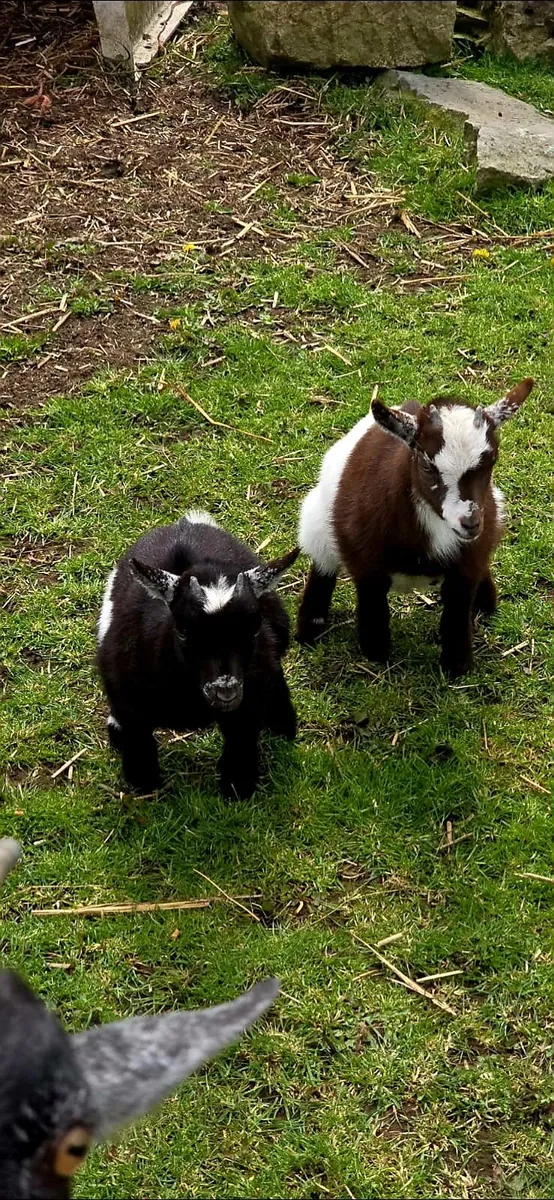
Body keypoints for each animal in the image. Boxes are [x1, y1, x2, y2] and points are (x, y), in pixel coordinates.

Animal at [97, 510, 298, 797]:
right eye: (182, 630)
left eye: (254, 629)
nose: (225, 691)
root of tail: (186, 522)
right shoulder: (126, 692)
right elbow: (138, 737)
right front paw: (144, 782)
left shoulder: (250, 698)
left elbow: (241, 738)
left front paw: (237, 787)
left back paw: (283, 724)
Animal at [296, 380, 533, 677]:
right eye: (427, 464)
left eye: (492, 461)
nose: (469, 522)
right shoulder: (365, 562)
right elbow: (373, 605)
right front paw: (375, 653)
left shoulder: (469, 560)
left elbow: (457, 608)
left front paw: (457, 665)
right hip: (317, 521)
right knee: (323, 564)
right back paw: (310, 627)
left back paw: (486, 604)